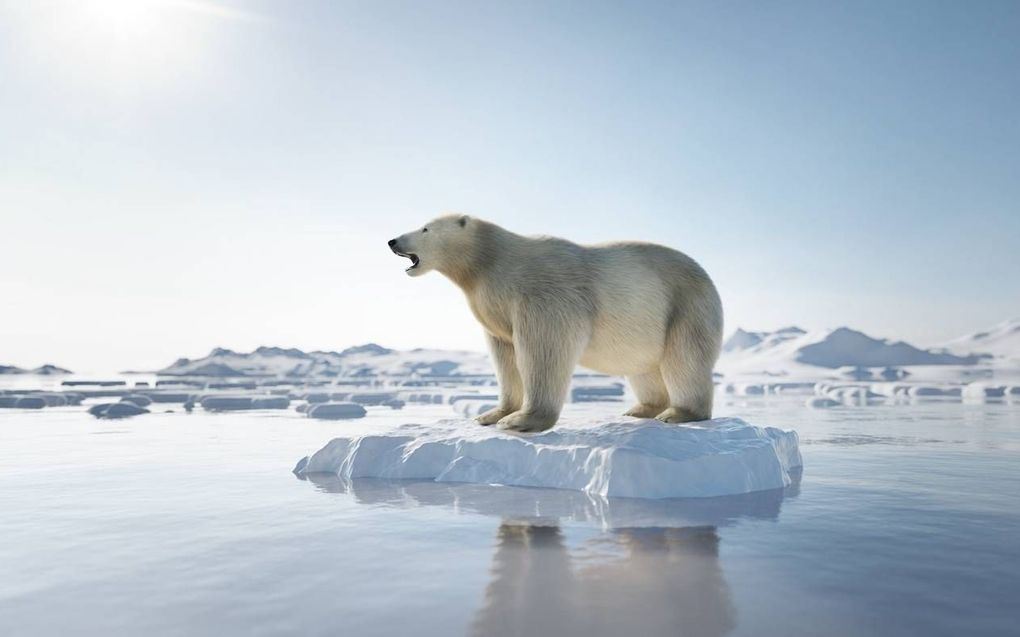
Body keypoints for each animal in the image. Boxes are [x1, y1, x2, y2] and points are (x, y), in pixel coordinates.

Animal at [389, 215, 726, 432]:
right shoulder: (495, 308)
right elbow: (505, 356)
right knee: (644, 368)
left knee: (684, 360)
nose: (392, 240)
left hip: (685, 307)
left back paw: (678, 413)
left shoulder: (543, 294)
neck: (490, 262)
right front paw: (491, 414)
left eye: (425, 228)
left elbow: (544, 349)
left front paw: (521, 420)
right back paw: (640, 409)